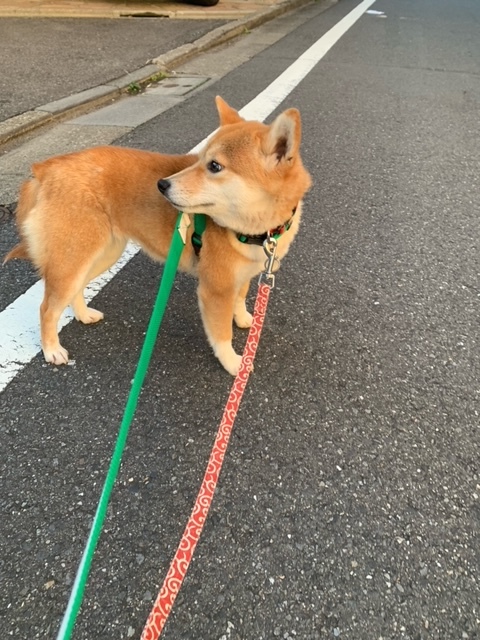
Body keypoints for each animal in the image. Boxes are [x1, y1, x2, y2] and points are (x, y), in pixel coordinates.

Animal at [4, 97, 311, 375]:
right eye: (201, 160)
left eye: (214, 166)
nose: (162, 185)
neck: (257, 232)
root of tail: (45, 169)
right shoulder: (215, 289)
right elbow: (222, 334)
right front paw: (236, 363)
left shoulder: (244, 274)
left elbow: (241, 297)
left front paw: (246, 318)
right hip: (73, 257)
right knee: (47, 308)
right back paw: (52, 350)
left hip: (101, 254)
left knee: (75, 290)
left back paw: (84, 315)